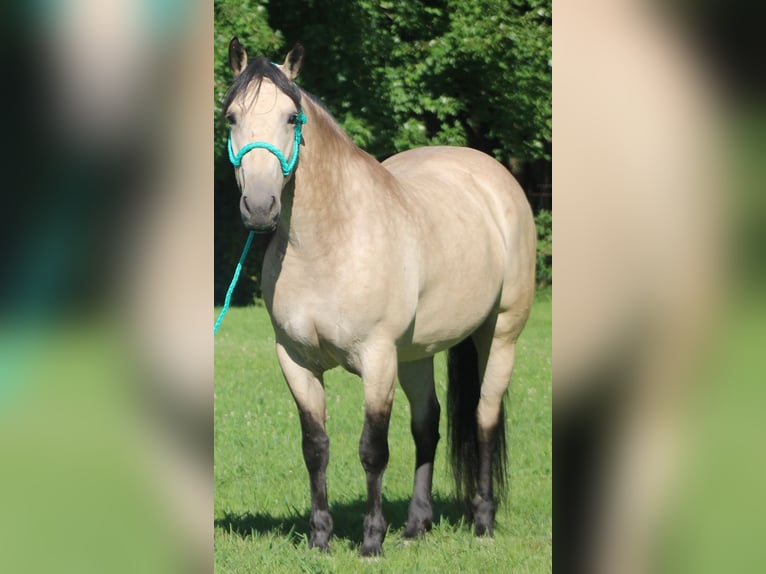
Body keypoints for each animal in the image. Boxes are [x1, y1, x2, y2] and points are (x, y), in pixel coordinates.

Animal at [220, 39, 536, 560]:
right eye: (231, 117)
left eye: (291, 117)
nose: (260, 207)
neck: (330, 241)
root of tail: (492, 174)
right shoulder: (296, 361)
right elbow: (316, 447)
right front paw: (321, 538)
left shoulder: (377, 358)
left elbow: (373, 449)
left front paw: (370, 541)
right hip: (417, 353)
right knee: (428, 424)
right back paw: (416, 526)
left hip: (499, 334)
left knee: (485, 417)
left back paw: (483, 521)